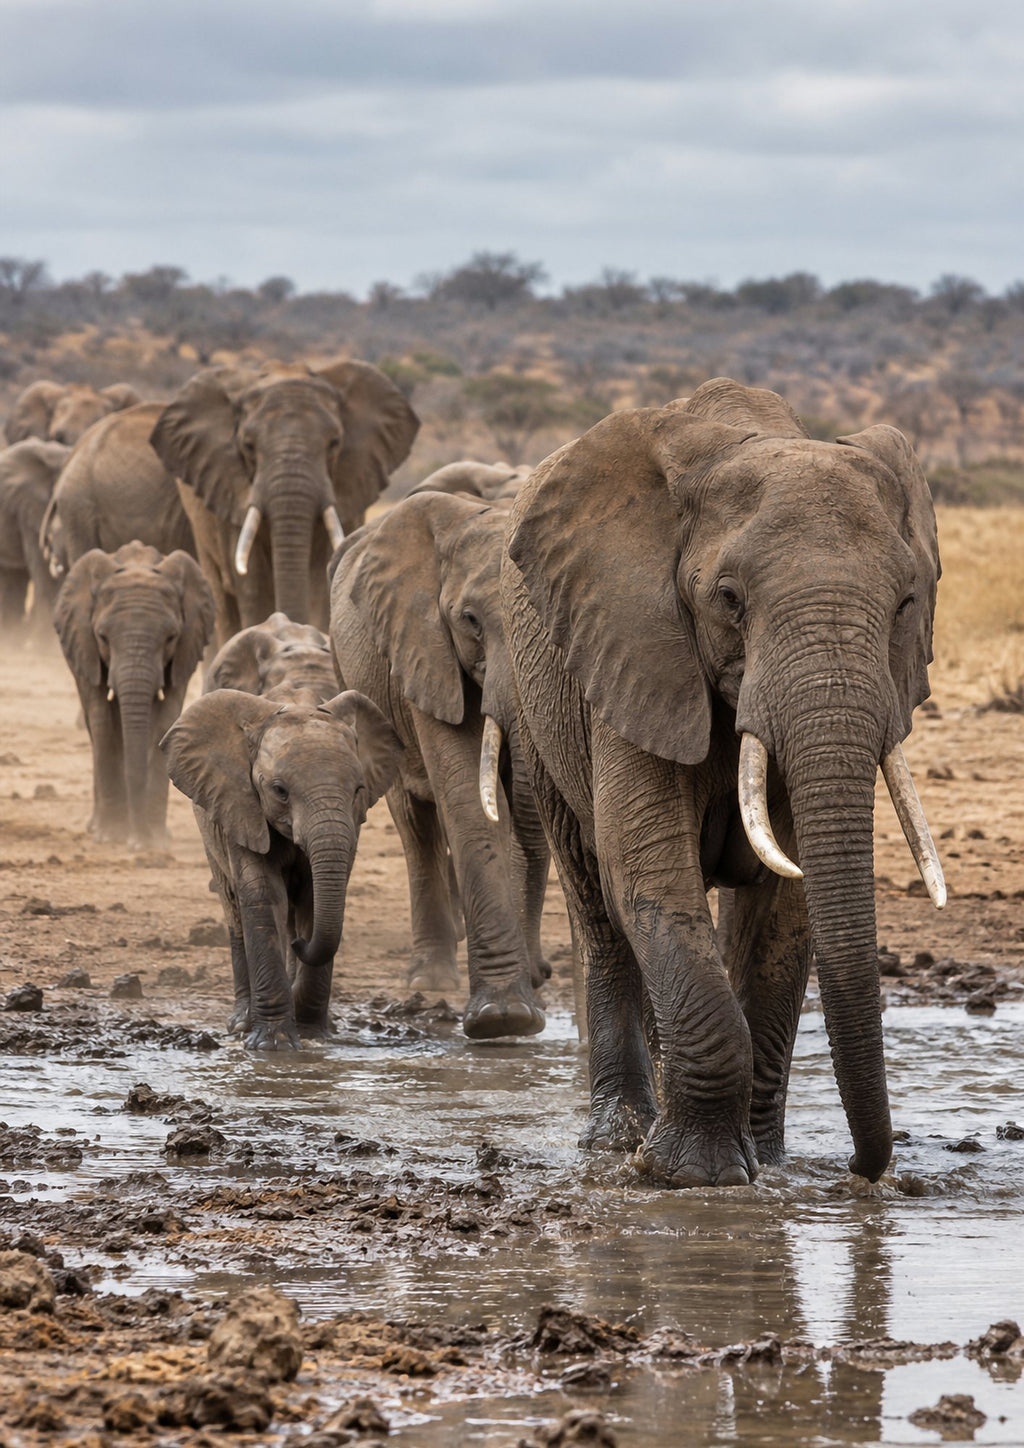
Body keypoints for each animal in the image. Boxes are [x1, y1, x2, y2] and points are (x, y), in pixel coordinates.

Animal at [54, 540, 215, 849]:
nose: (137, 843)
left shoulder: (183, 653)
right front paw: (112, 836)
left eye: (171, 637)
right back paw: (97, 827)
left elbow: (165, 719)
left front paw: (156, 841)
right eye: (102, 637)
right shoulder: (87, 648)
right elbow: (103, 721)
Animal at [161, 687, 403, 1047]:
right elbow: (264, 895)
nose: (300, 945)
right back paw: (241, 1023)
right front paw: (273, 1045)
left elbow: (315, 900)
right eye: (279, 791)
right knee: (233, 909)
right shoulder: (240, 806)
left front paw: (314, 1035)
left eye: (358, 790)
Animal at [329, 490, 549, 1040]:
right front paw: (503, 1019)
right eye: (470, 619)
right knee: (416, 821)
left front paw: (522, 1002)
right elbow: (469, 796)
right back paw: (430, 981)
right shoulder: (425, 650)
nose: (541, 972)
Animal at [500, 378, 944, 1187]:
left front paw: (762, 1163)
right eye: (730, 599)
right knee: (597, 899)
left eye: (905, 604)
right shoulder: (635, 643)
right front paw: (691, 1175)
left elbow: (786, 906)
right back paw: (617, 1138)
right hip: (536, 698)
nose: (867, 1169)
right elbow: (649, 870)